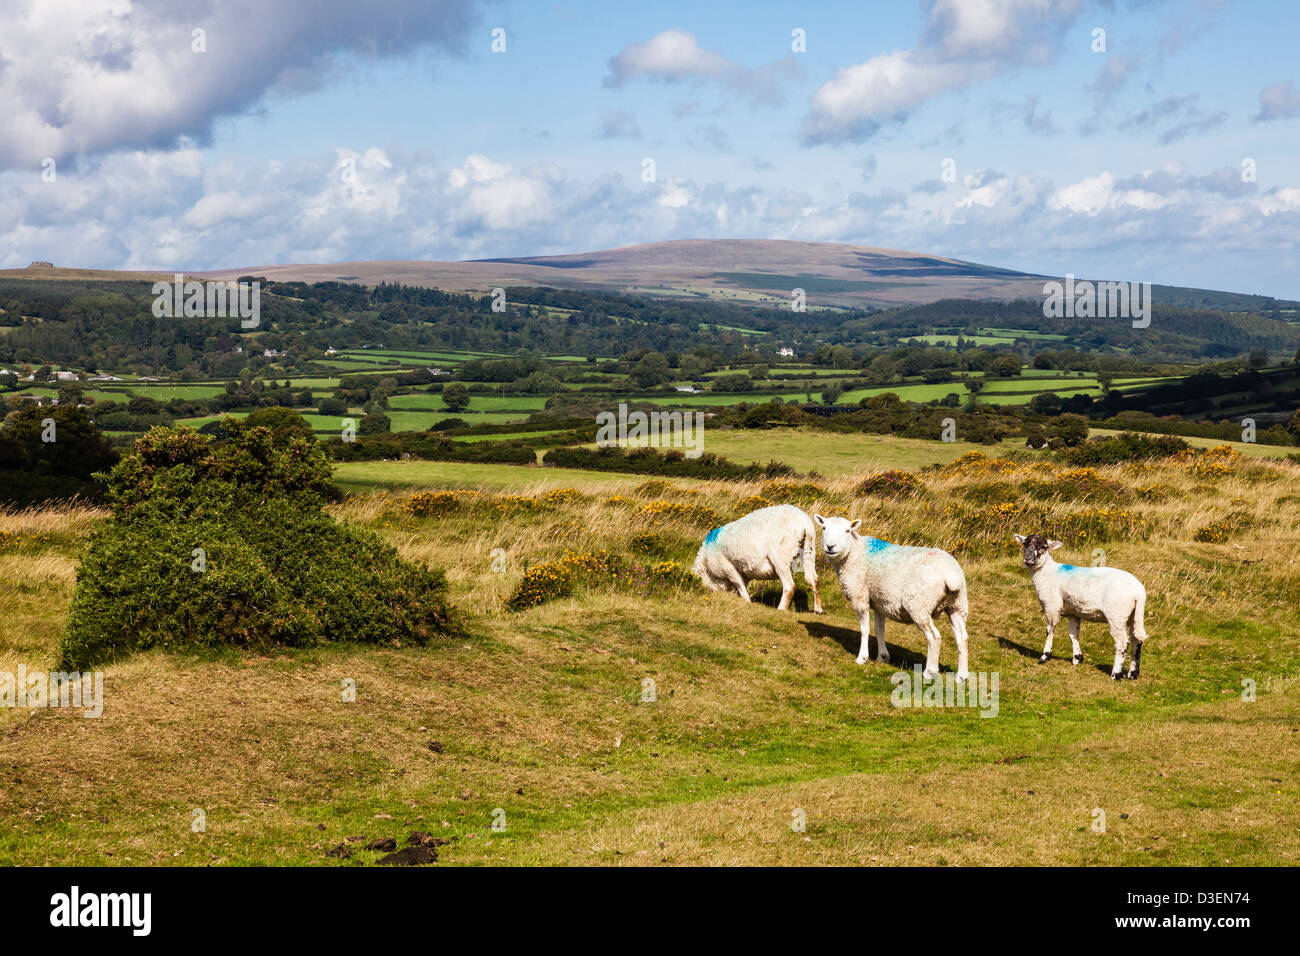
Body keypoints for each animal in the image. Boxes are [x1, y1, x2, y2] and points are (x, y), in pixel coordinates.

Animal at [691, 509, 821, 613]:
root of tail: (804, 524)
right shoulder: (743, 573)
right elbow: (740, 587)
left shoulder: (728, 568)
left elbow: (739, 585)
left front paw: (747, 602)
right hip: (809, 551)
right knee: (814, 578)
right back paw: (818, 609)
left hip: (780, 557)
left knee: (790, 586)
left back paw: (781, 609)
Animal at [816, 512, 972, 686]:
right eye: (824, 528)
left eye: (847, 530)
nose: (830, 546)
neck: (854, 553)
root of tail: (951, 574)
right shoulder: (879, 601)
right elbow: (879, 629)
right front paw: (882, 657)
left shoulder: (860, 596)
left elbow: (865, 629)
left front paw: (862, 658)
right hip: (957, 605)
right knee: (963, 638)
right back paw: (962, 676)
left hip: (919, 605)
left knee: (934, 637)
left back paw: (929, 672)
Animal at [1013, 530, 1149, 681]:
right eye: (1025, 544)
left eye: (1043, 546)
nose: (1028, 557)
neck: (1047, 572)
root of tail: (1139, 591)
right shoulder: (1073, 612)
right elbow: (1073, 634)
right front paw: (1077, 659)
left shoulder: (1051, 606)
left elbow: (1050, 630)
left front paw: (1045, 656)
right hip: (1133, 615)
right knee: (1137, 640)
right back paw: (1133, 673)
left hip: (1117, 615)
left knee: (1122, 642)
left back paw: (1116, 674)